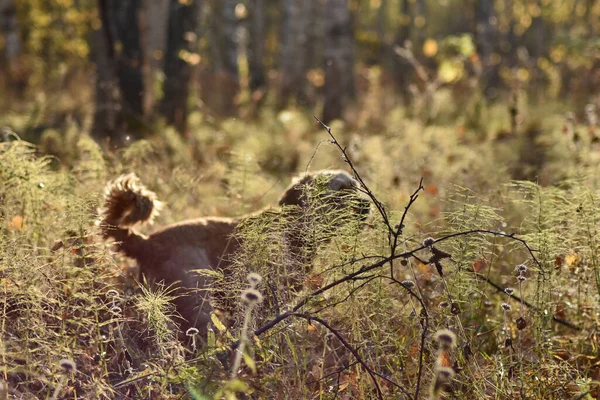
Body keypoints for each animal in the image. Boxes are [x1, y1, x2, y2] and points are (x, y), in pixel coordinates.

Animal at [99, 170, 370, 336]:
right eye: (341, 189)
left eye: (355, 186)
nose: (367, 205)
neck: (295, 225)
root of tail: (147, 242)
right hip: (198, 303)